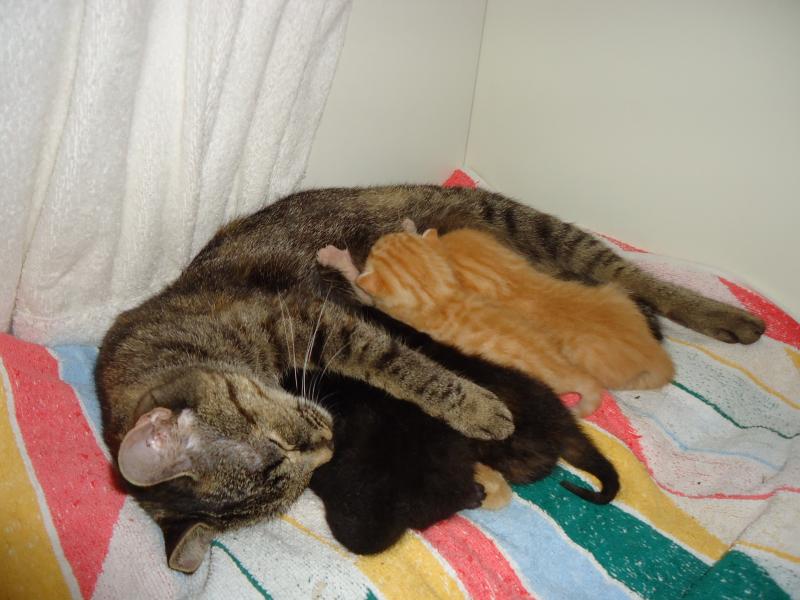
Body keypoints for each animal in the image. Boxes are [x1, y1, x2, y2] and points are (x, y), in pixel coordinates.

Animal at [317, 221, 674, 416]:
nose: (437, 236)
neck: (437, 293)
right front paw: (411, 227)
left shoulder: (383, 302)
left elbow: (359, 285)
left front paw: (337, 257)